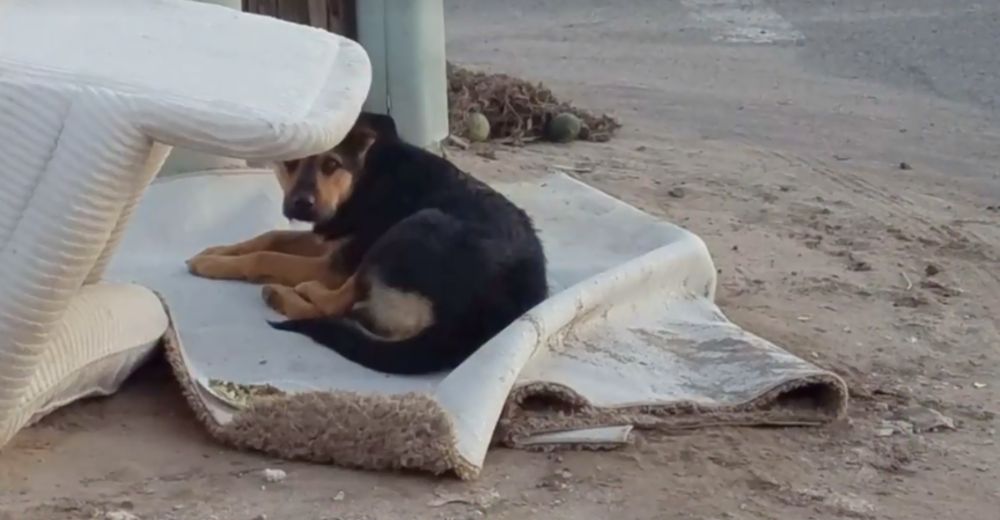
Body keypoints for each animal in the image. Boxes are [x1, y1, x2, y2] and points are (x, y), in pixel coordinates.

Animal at [186, 112, 548, 374]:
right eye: (290, 163)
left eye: (331, 164)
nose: (301, 205)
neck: (363, 177)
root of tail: (472, 325)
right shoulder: (330, 238)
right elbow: (271, 236)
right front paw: (217, 252)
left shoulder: (333, 264)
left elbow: (268, 256)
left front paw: (213, 264)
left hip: (414, 227)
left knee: (335, 303)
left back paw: (289, 293)